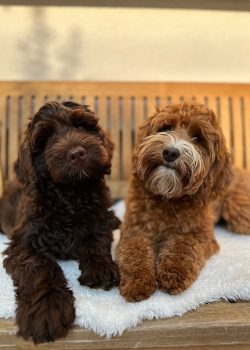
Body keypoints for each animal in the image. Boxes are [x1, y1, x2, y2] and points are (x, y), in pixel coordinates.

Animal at [0, 100, 120, 342]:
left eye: (82, 126)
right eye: (46, 139)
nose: (76, 154)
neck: (69, 195)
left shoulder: (99, 219)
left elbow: (96, 237)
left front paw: (100, 267)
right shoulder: (23, 242)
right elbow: (40, 266)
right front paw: (47, 306)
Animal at [116, 102, 232, 302]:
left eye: (197, 138)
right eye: (166, 127)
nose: (170, 152)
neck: (167, 197)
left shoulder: (201, 235)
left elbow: (183, 246)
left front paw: (173, 273)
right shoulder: (134, 231)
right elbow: (134, 252)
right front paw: (137, 281)